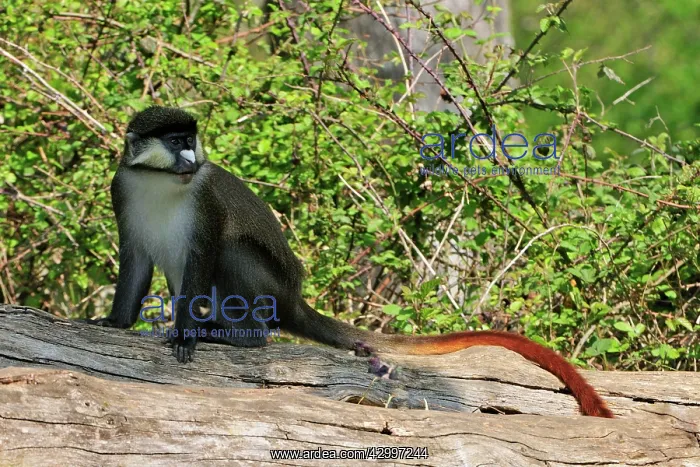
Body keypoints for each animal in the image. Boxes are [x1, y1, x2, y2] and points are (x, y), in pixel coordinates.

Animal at [89, 106, 613, 418]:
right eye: (175, 139)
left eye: (189, 140)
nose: (191, 158)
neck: (161, 182)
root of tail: (293, 300)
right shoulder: (123, 187)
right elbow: (134, 259)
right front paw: (115, 323)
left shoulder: (205, 203)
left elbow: (204, 255)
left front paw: (184, 334)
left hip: (266, 289)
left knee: (231, 254)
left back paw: (240, 336)